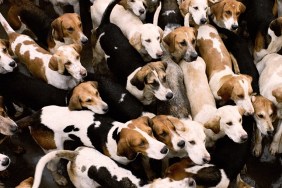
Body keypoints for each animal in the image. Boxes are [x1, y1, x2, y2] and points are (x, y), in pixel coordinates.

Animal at [18, 109, 169, 186]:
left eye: (150, 132)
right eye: (140, 143)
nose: (165, 149)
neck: (115, 135)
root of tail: (36, 116)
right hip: (53, 149)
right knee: (51, 167)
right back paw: (59, 178)